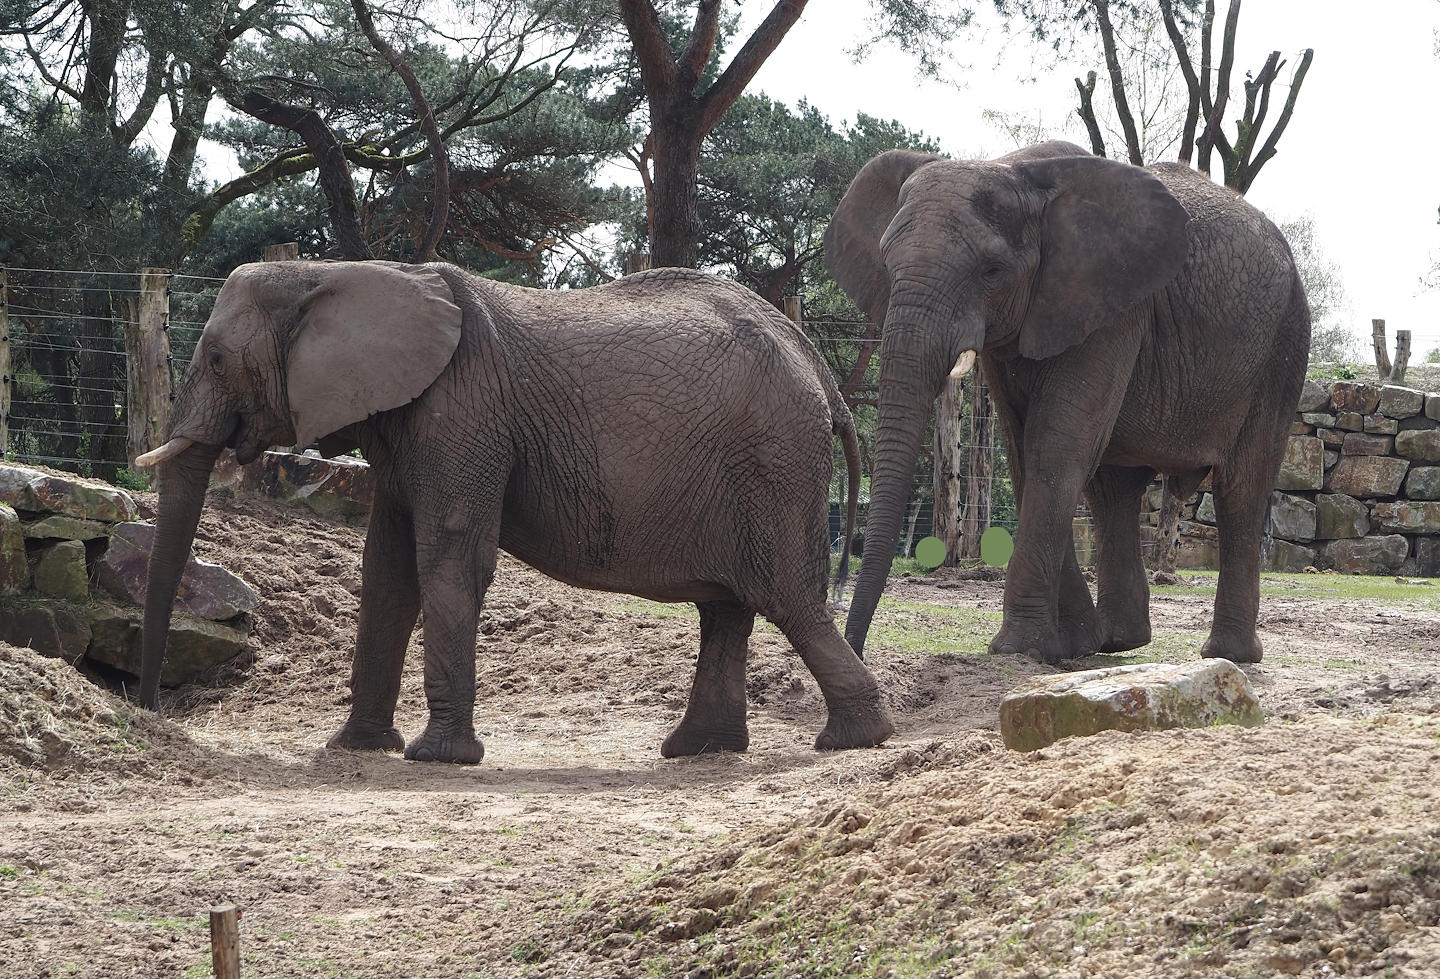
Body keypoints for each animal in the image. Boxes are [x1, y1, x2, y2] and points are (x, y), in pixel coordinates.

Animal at [135, 260, 895, 763]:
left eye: (217, 358)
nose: (150, 711)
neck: (334, 273)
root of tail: (818, 368)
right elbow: (387, 574)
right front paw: (358, 746)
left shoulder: (462, 414)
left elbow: (448, 561)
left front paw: (436, 756)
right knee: (729, 607)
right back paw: (697, 749)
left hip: (774, 463)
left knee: (786, 598)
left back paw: (853, 740)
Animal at [825, 141, 1310, 665]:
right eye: (886, 262)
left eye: (992, 271)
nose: (857, 650)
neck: (1017, 168)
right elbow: (1025, 454)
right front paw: (1070, 647)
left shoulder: (1110, 311)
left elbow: (1055, 447)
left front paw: (1020, 649)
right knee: (1113, 490)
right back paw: (1117, 641)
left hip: (1283, 347)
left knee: (1240, 486)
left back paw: (1228, 655)